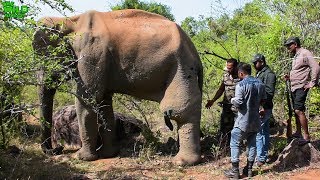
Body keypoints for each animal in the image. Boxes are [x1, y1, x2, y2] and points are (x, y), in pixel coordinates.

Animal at [32, 9, 202, 165]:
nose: (57, 149)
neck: (69, 21)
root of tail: (195, 52)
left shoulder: (91, 54)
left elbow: (86, 101)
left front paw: (81, 158)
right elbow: (104, 104)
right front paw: (108, 154)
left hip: (180, 68)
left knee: (178, 111)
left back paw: (181, 162)